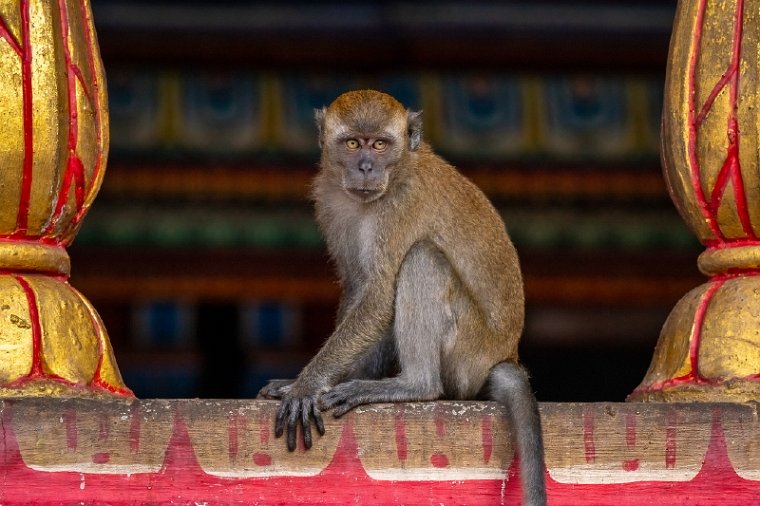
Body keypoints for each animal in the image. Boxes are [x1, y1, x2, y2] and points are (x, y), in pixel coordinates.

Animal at [262, 89, 548, 504]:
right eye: (353, 144)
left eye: (381, 145)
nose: (366, 167)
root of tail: (505, 354)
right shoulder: (330, 199)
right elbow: (359, 285)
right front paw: (310, 380)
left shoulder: (401, 205)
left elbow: (379, 295)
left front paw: (306, 386)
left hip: (466, 354)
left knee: (422, 258)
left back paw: (414, 384)